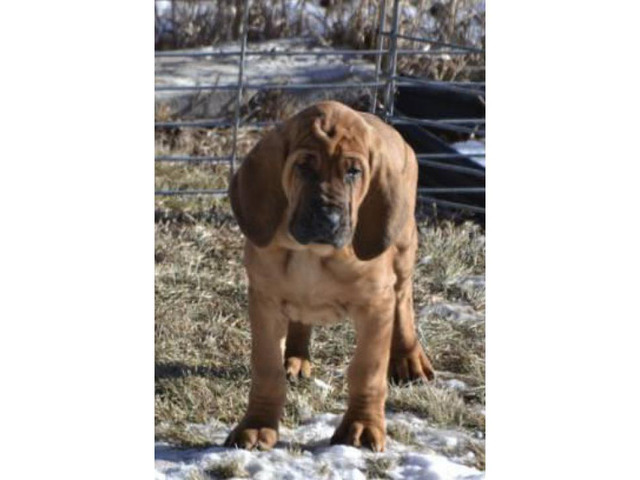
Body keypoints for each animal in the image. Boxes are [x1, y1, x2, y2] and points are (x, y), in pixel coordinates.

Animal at [225, 99, 436, 452]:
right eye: (304, 167)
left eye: (353, 171)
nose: (328, 219)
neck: (313, 254)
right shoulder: (264, 302)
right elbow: (266, 370)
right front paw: (256, 426)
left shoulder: (376, 305)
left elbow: (367, 370)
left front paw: (362, 426)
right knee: (300, 321)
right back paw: (297, 358)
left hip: (405, 248)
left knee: (404, 301)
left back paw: (410, 359)